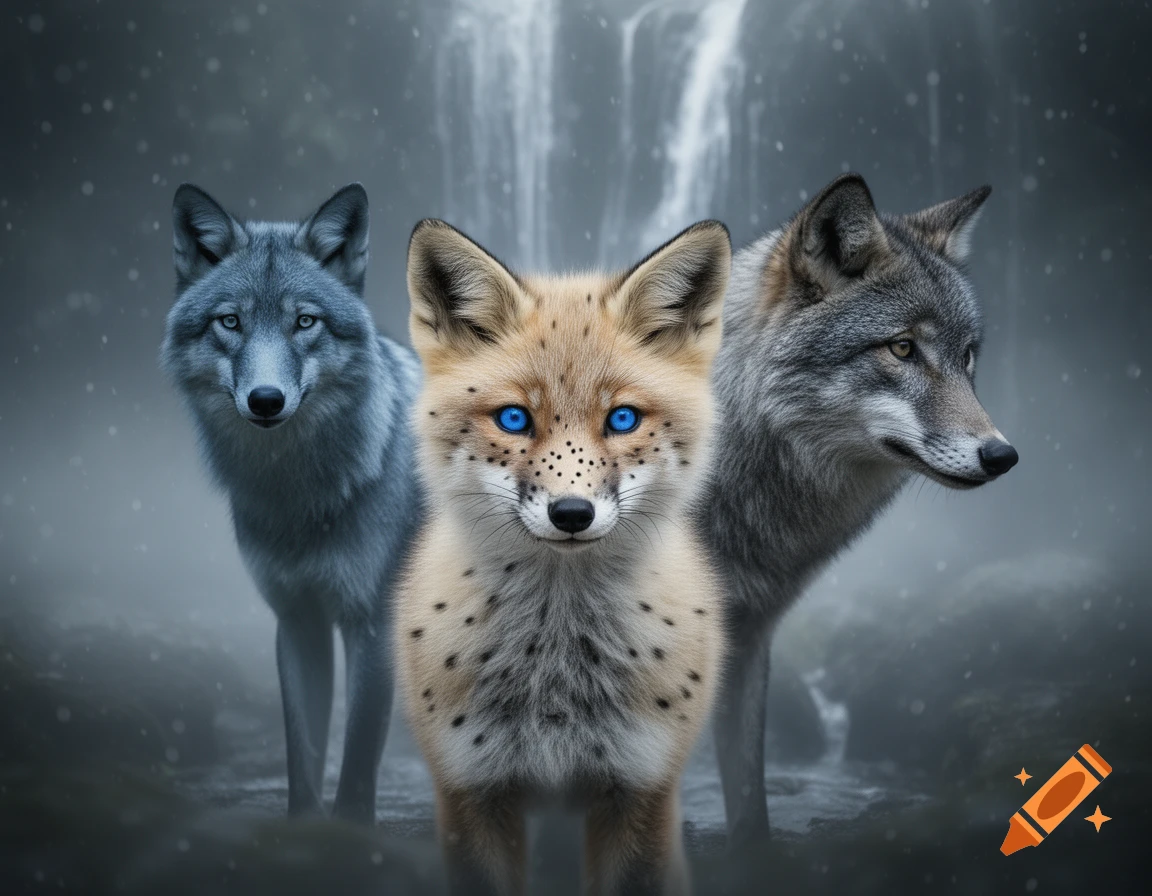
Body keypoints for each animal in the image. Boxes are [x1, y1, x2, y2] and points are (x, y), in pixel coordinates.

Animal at [160, 183, 423, 824]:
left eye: (305, 322)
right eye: (230, 322)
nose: (266, 400)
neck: (301, 496)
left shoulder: (371, 624)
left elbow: (355, 763)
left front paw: (350, 832)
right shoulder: (297, 622)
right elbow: (302, 756)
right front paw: (305, 830)